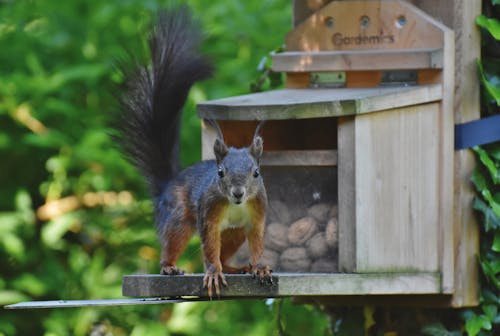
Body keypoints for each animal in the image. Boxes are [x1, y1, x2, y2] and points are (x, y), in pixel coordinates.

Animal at [115, 5, 272, 296]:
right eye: (220, 173)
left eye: (256, 173)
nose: (238, 192)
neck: (236, 204)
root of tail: (166, 186)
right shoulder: (208, 216)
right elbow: (209, 247)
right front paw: (212, 273)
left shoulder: (257, 215)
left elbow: (256, 241)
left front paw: (259, 267)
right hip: (178, 215)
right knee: (174, 241)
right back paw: (170, 267)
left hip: (233, 233)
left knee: (226, 252)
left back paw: (234, 268)